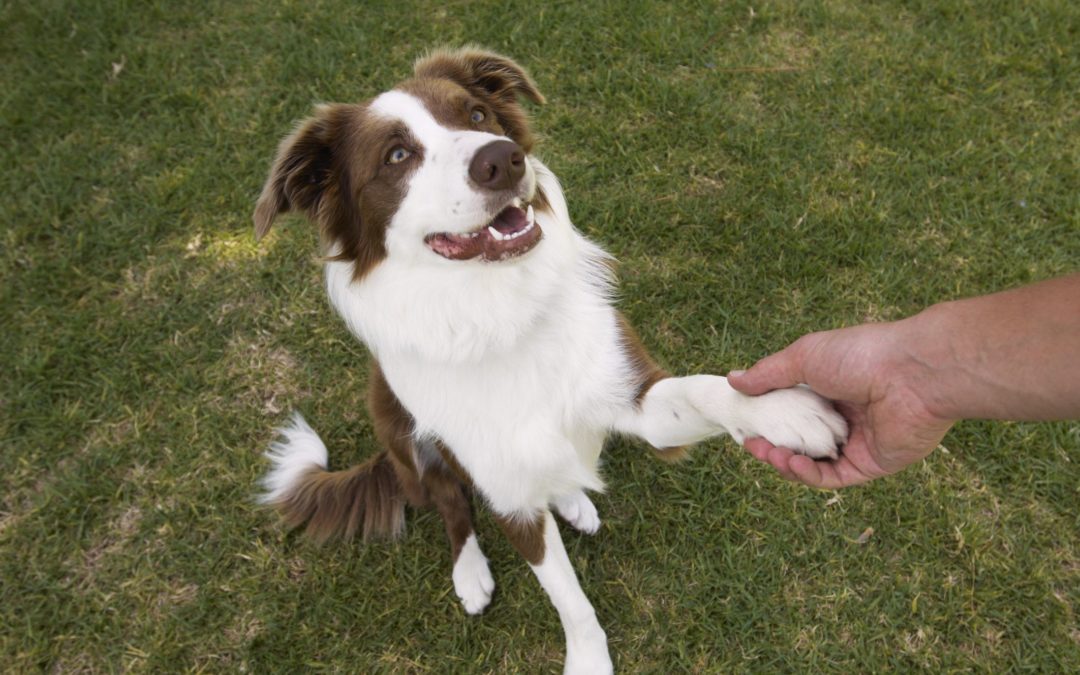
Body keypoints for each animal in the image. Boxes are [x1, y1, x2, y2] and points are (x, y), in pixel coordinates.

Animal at [252, 48, 842, 673]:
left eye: (478, 113)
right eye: (396, 156)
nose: (501, 159)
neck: (497, 314)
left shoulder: (634, 394)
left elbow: (702, 387)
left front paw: (784, 410)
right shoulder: (509, 496)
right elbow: (567, 596)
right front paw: (587, 658)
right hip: (398, 429)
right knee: (449, 503)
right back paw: (471, 571)